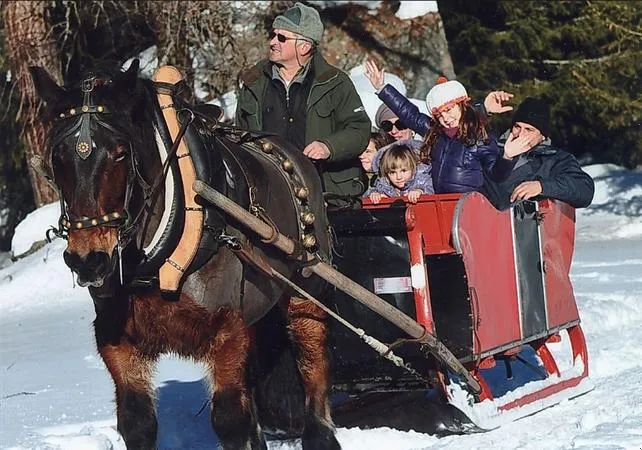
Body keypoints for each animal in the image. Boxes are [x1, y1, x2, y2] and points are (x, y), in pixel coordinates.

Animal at [29, 59, 340, 450]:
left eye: (120, 153)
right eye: (58, 157)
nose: (88, 259)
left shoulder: (226, 329)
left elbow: (230, 420)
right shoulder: (117, 338)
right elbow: (136, 422)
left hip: (306, 287)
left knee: (312, 355)